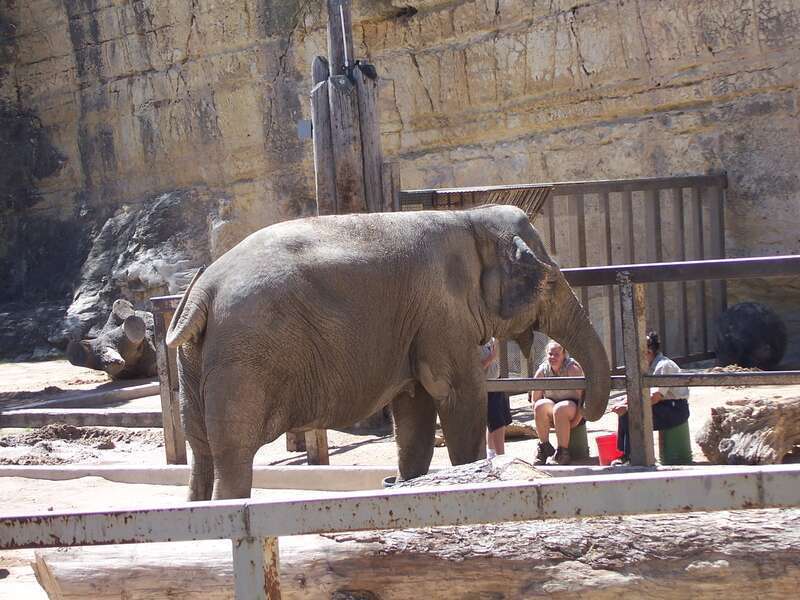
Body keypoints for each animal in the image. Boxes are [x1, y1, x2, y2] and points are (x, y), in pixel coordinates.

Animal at [166, 206, 611, 501]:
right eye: (550, 282)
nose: (582, 411)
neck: (468, 218)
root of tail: (203, 291)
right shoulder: (441, 313)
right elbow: (460, 396)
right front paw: (474, 473)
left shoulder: (418, 323)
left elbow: (415, 409)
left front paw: (409, 484)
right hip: (243, 361)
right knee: (233, 454)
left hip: (195, 360)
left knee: (201, 452)